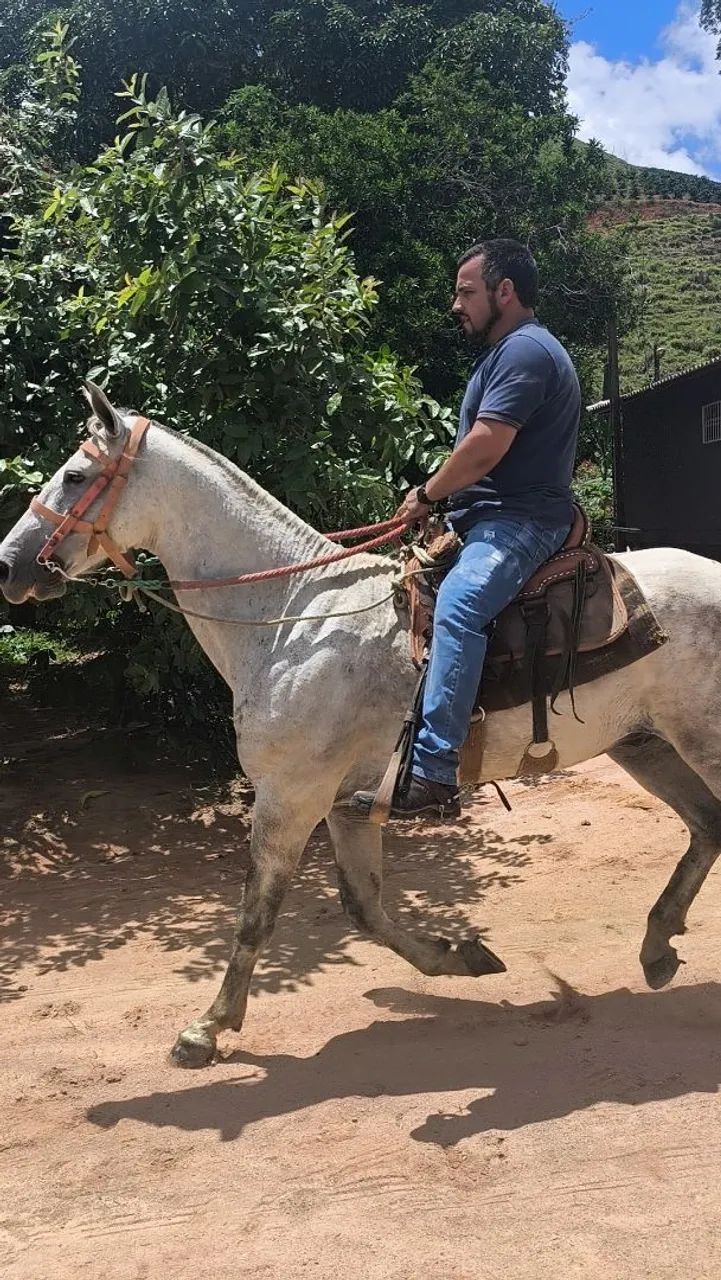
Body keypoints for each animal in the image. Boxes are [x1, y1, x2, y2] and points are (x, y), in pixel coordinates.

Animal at [2, 381, 720, 1069]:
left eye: (74, 475)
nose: (10, 565)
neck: (292, 617)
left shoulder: (290, 797)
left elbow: (256, 914)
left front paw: (205, 1030)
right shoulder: (346, 805)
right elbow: (364, 907)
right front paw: (461, 956)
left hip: (698, 741)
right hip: (646, 746)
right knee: (706, 826)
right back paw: (656, 947)